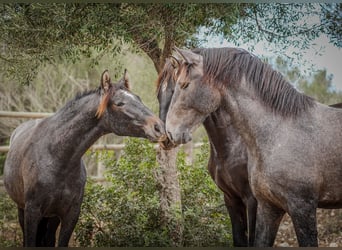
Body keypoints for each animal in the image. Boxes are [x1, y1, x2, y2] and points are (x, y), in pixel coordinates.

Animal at [3, 69, 166, 247]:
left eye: (138, 98)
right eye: (119, 103)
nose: (159, 127)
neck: (57, 158)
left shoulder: (71, 215)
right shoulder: (32, 213)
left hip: (51, 218)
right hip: (23, 210)